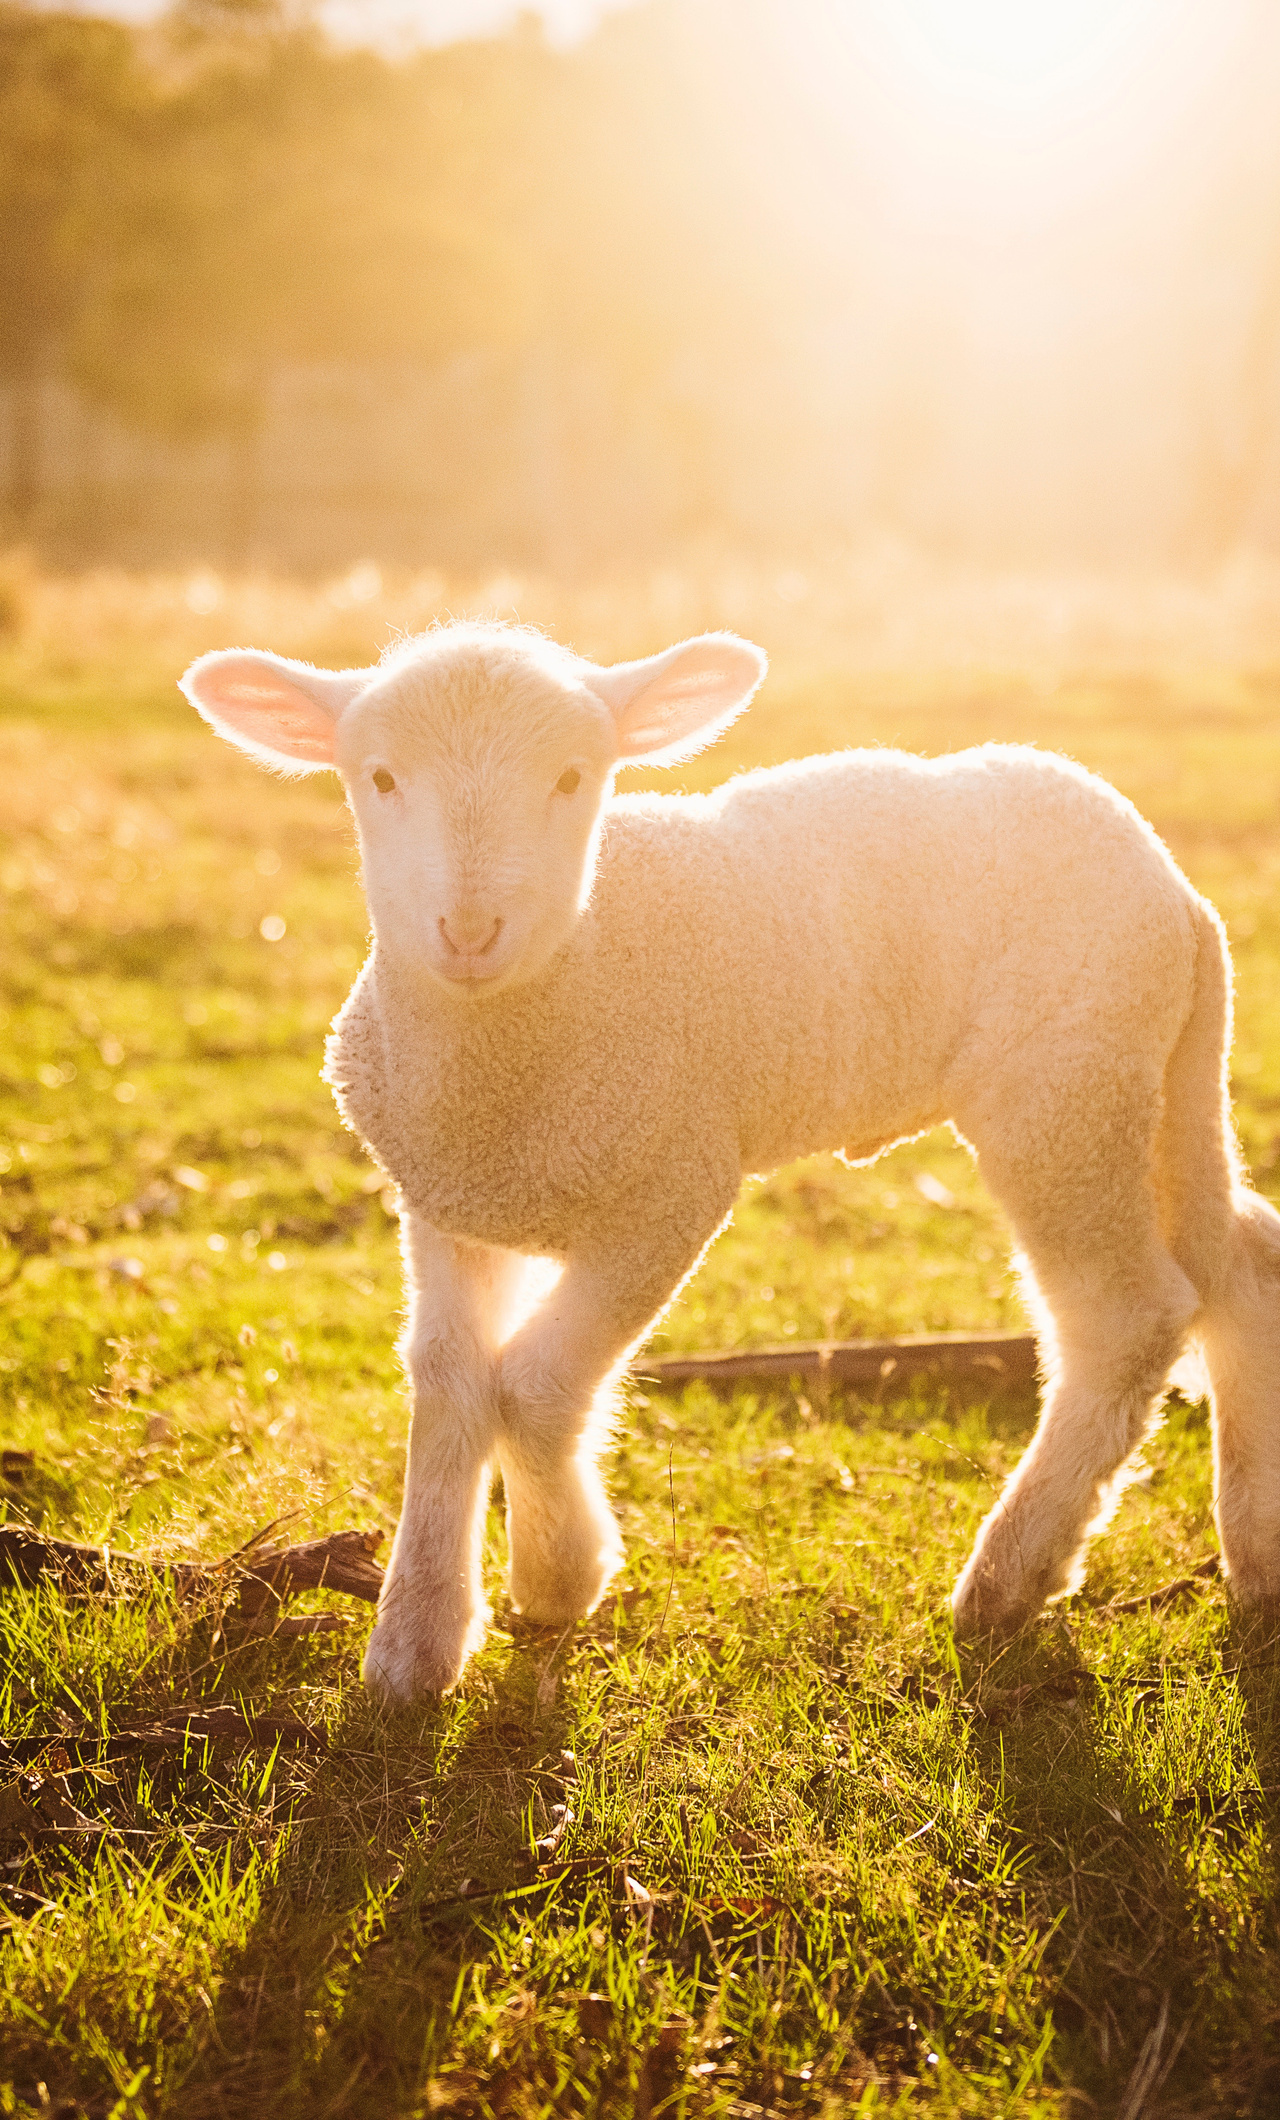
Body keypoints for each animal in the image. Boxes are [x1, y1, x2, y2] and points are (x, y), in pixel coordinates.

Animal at [180, 621, 1280, 1701]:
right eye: (379, 777)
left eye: (572, 776)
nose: (468, 929)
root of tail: (1178, 892)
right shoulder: (449, 1196)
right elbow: (448, 1381)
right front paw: (415, 1641)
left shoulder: (671, 1186)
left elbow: (531, 1382)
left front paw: (557, 1576)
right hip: (1155, 1079)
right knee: (1240, 1259)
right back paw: (1256, 1553)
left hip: (1062, 1091)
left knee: (1125, 1319)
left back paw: (1008, 1578)